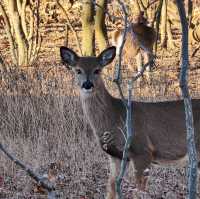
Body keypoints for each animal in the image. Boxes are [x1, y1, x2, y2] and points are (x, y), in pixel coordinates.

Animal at [59, 45, 200, 198]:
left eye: (97, 70)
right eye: (78, 70)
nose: (87, 84)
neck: (115, 117)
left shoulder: (142, 150)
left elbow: (140, 192)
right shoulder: (116, 156)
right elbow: (111, 187)